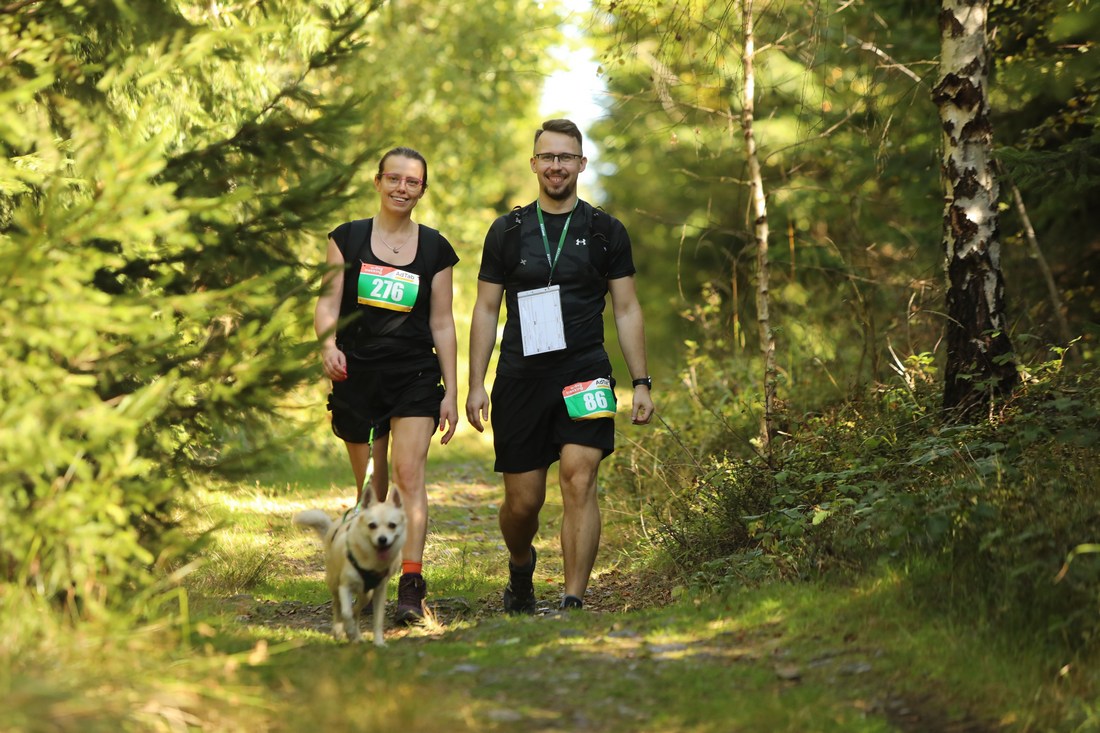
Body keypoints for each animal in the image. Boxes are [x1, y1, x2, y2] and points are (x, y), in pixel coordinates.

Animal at [293, 489, 406, 646]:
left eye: (392, 525)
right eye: (372, 525)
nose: (382, 539)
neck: (370, 562)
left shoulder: (379, 591)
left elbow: (377, 619)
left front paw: (378, 643)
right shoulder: (344, 587)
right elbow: (346, 613)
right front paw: (349, 630)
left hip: (366, 594)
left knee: (357, 609)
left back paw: (356, 635)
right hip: (335, 584)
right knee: (338, 606)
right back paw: (339, 631)